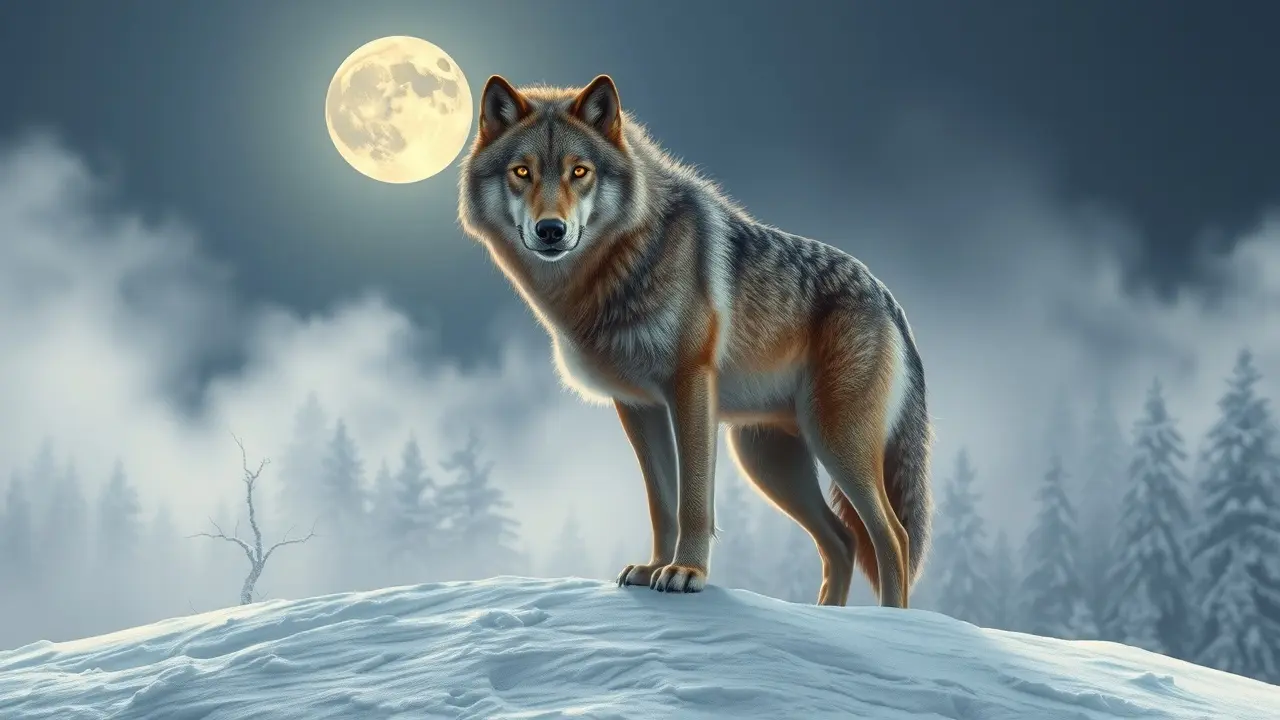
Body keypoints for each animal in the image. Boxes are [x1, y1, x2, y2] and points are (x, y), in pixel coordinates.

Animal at [457, 74, 932, 607]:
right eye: (522, 171)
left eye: (579, 171)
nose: (551, 230)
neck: (620, 263)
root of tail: (889, 299)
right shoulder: (639, 406)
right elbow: (662, 501)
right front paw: (653, 568)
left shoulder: (690, 386)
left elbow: (694, 499)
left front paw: (686, 572)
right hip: (769, 463)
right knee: (843, 540)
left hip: (834, 442)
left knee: (893, 536)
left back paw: (893, 622)